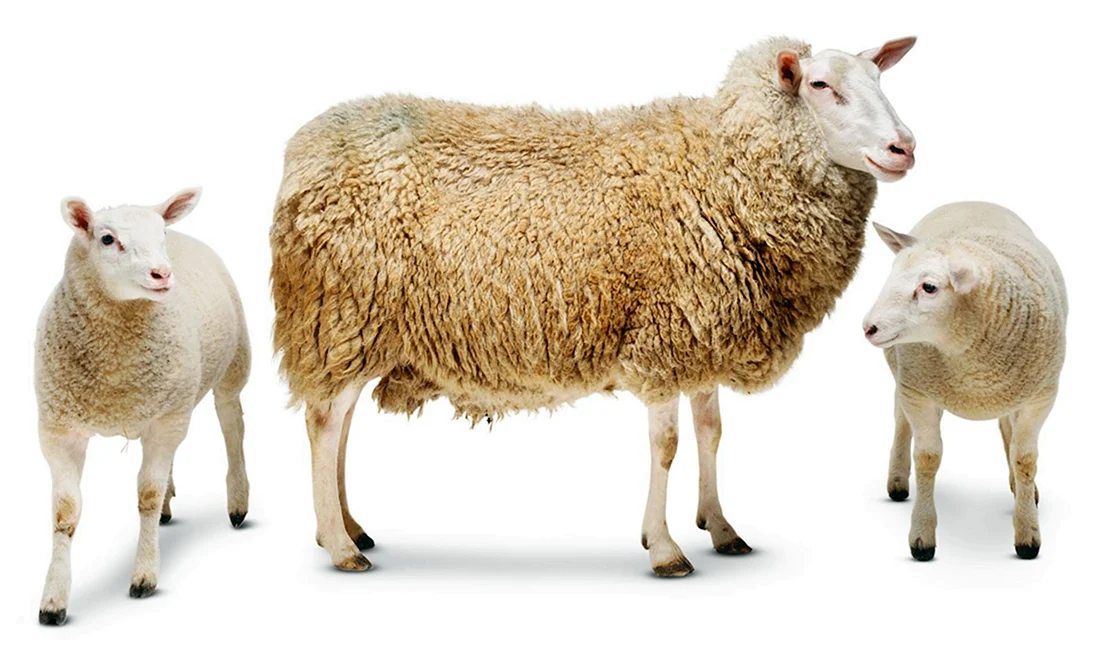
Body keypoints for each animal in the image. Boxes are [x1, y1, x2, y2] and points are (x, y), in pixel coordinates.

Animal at [35, 189, 251, 625]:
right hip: (174, 398)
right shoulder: (59, 429)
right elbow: (64, 513)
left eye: (160, 233)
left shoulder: (164, 422)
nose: (162, 274)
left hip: (232, 364)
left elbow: (146, 497)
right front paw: (53, 601)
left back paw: (237, 502)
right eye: (106, 239)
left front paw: (144, 576)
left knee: (231, 425)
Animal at [270, 36, 918, 576]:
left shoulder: (705, 330)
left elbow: (711, 432)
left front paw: (721, 527)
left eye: (880, 79)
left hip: (358, 328)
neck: (725, 171)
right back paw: (341, 546)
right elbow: (667, 446)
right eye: (821, 85)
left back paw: (347, 526)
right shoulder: (663, 337)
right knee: (325, 423)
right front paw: (665, 548)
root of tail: (303, 147)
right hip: (344, 311)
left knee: (340, 423)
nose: (904, 147)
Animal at [862, 201, 1067, 561]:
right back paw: (898, 482)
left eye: (929, 287)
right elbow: (927, 458)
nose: (868, 327)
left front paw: (1028, 533)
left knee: (1007, 427)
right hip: (904, 374)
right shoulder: (918, 393)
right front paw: (922, 537)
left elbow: (1025, 459)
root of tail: (973, 202)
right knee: (900, 421)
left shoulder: (1041, 396)